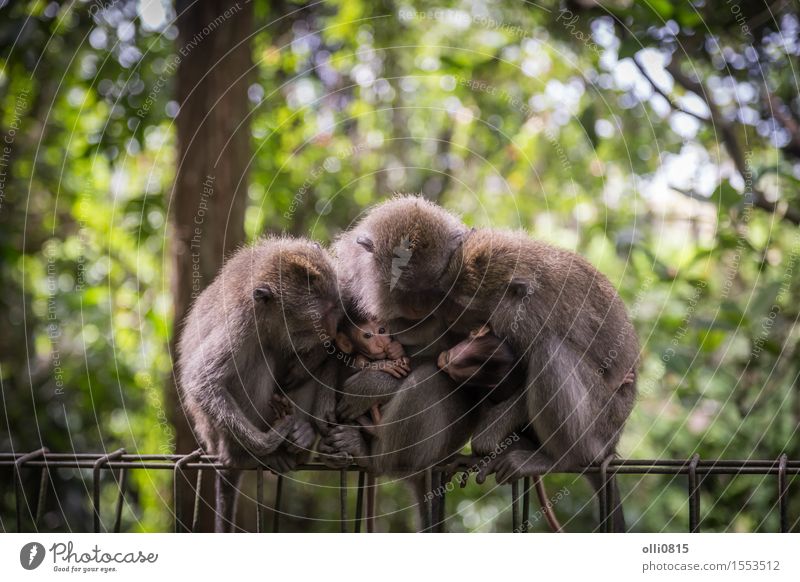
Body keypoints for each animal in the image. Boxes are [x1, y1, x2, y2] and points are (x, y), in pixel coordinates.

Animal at [178, 237, 340, 532]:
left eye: (337, 307)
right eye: (316, 321)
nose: (333, 332)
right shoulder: (240, 323)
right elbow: (202, 380)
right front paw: (266, 443)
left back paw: (303, 437)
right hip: (221, 439)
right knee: (259, 357)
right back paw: (254, 455)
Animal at [444, 228, 636, 532]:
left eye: (460, 305)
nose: (449, 320)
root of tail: (611, 446)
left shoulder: (526, 321)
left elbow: (522, 378)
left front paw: (486, 440)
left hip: (597, 425)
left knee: (551, 351)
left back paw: (558, 460)